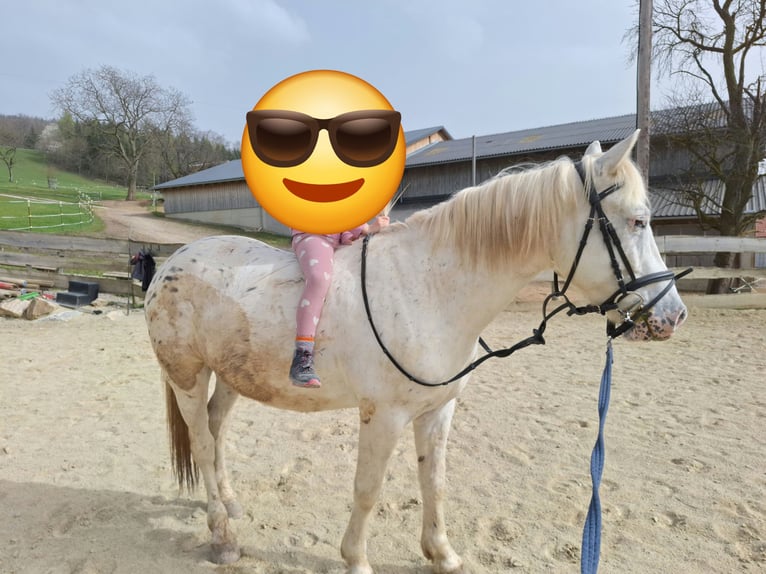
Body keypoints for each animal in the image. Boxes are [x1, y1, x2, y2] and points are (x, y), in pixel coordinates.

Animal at [146, 132, 688, 574]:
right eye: (638, 221)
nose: (674, 314)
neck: (428, 288)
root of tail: (169, 264)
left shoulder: (437, 409)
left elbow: (435, 481)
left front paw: (441, 553)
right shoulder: (383, 416)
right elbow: (368, 489)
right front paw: (355, 559)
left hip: (231, 376)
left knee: (216, 431)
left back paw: (229, 506)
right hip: (187, 376)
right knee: (201, 441)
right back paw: (222, 536)